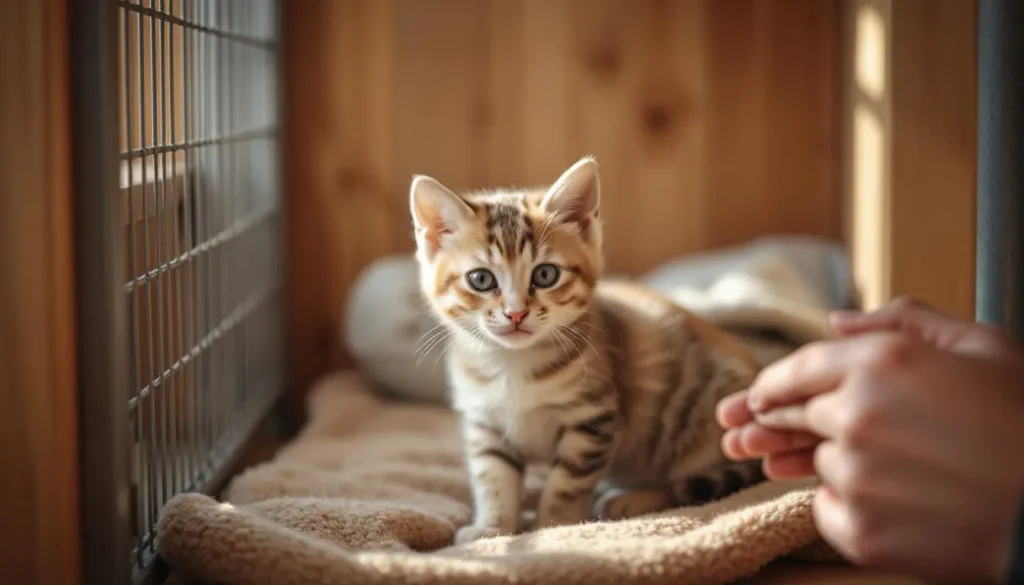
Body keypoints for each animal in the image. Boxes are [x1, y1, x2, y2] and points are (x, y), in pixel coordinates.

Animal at [407, 156, 761, 545]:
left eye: (545, 275)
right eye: (481, 279)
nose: (516, 313)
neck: (514, 364)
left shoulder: (594, 420)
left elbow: (566, 483)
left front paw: (553, 526)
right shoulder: (486, 424)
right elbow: (494, 478)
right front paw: (493, 528)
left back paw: (632, 499)